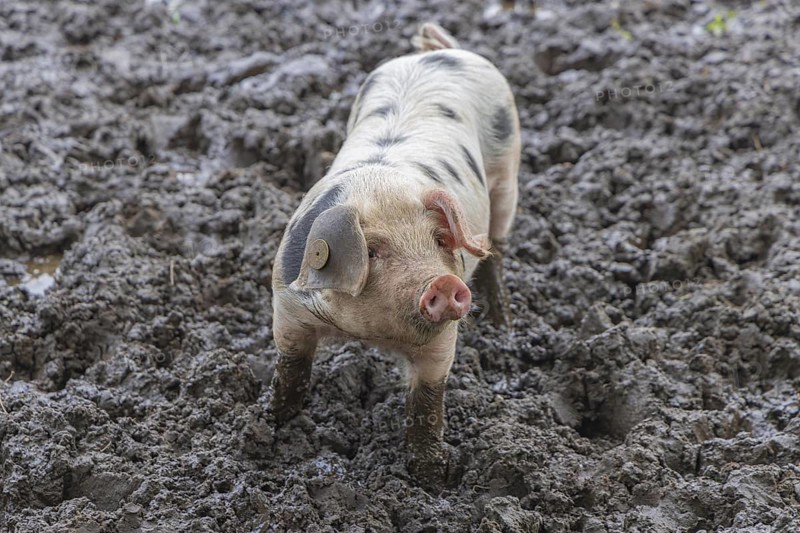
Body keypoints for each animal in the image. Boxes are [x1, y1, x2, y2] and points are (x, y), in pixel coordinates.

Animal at [268, 22, 520, 489]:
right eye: (373, 250)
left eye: (439, 241)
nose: (444, 281)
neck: (369, 334)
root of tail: (440, 53)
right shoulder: (287, 305)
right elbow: (291, 369)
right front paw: (271, 423)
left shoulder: (442, 342)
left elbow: (426, 403)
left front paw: (432, 478)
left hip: (506, 171)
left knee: (495, 247)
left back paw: (502, 323)